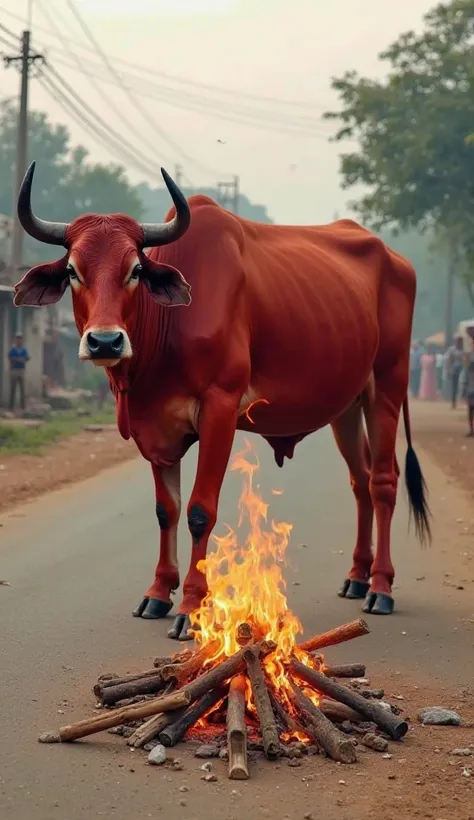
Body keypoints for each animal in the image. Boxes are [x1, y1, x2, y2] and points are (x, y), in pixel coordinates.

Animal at [13, 162, 430, 640]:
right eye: (72, 271)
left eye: (134, 270)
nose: (104, 342)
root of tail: (396, 260)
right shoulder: (154, 429)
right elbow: (166, 509)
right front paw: (158, 593)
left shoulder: (220, 409)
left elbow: (198, 510)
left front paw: (191, 606)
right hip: (346, 406)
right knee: (360, 481)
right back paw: (357, 577)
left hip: (388, 387)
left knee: (383, 482)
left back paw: (380, 587)